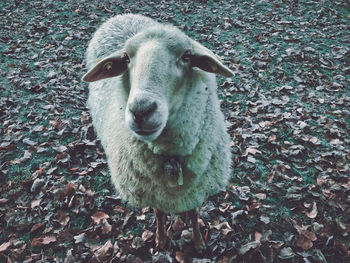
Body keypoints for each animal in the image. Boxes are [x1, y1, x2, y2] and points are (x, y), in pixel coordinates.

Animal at [83, 13, 234, 253]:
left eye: (187, 56)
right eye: (126, 58)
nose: (141, 110)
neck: (171, 157)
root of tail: (121, 15)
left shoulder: (195, 189)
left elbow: (194, 213)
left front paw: (198, 242)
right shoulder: (152, 191)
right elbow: (159, 214)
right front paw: (161, 240)